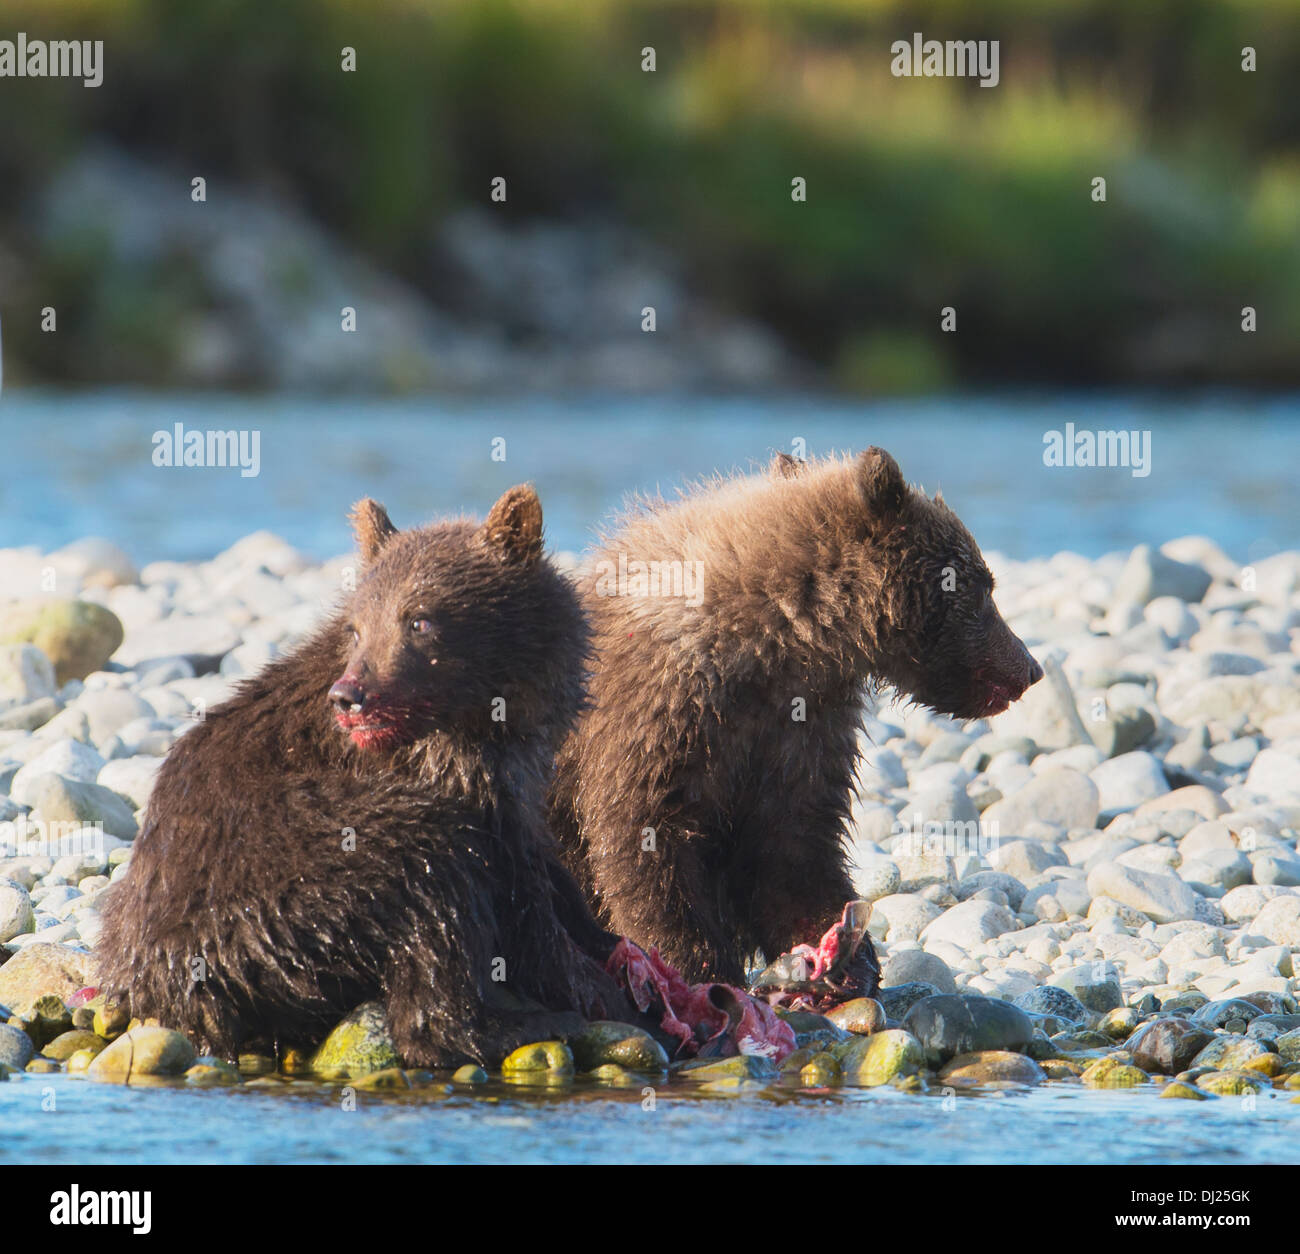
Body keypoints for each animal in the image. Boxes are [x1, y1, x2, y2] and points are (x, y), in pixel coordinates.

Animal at [97, 485, 625, 1068]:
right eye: (357, 627)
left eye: (418, 619)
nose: (350, 696)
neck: (484, 711)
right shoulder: (451, 773)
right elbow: (516, 887)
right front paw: (593, 987)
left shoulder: (520, 761)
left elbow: (545, 860)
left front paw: (607, 945)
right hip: (294, 871)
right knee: (431, 882)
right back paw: (522, 1026)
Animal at [549, 448, 1043, 994]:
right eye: (982, 587)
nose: (1030, 668)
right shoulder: (658, 712)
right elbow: (646, 842)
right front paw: (697, 968)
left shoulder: (802, 726)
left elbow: (795, 843)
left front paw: (843, 955)